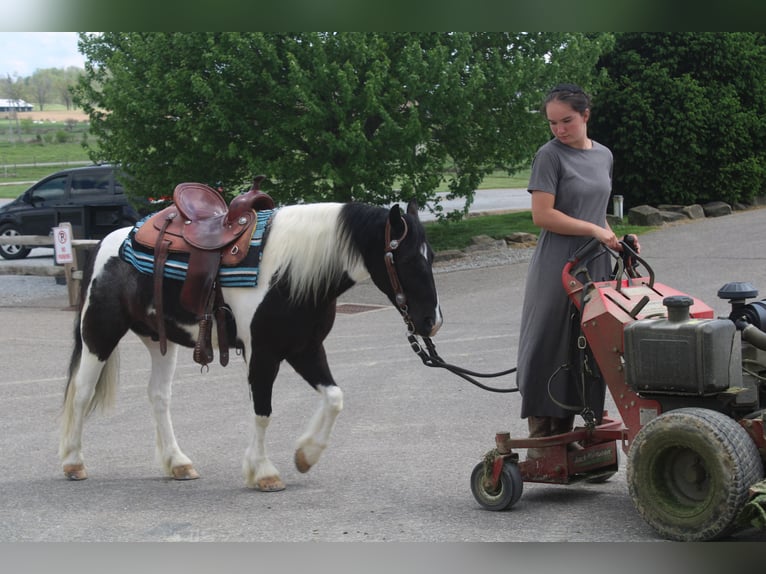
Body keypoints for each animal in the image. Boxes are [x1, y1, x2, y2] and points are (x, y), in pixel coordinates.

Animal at [59, 198, 443, 491]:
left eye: (432, 256)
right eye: (409, 259)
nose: (431, 322)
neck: (288, 272)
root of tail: (108, 242)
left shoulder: (305, 349)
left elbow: (334, 398)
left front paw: (305, 455)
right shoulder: (263, 354)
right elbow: (262, 412)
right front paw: (264, 472)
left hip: (158, 341)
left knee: (158, 397)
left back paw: (178, 463)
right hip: (99, 334)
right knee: (81, 392)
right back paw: (74, 462)